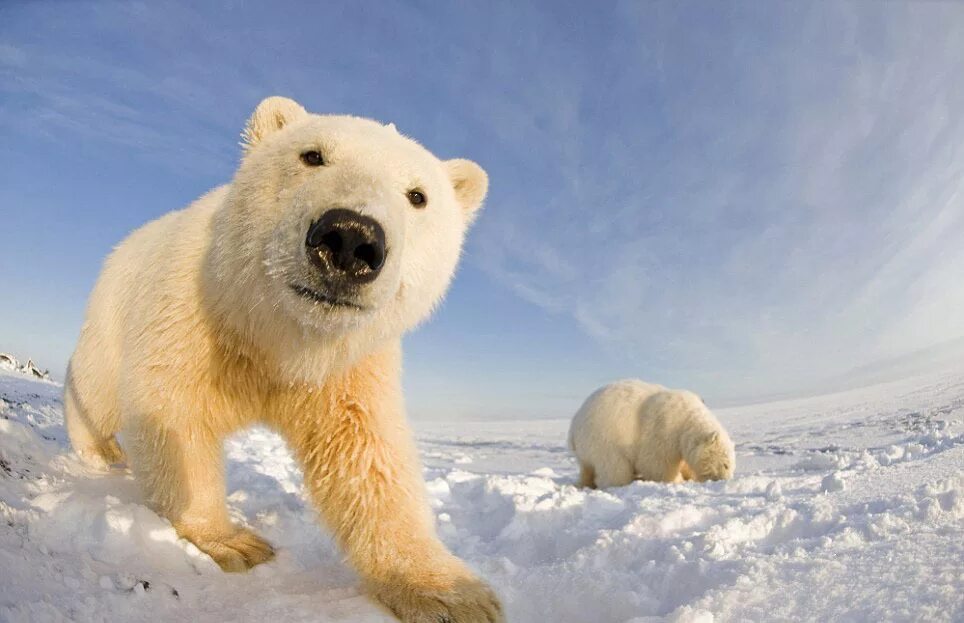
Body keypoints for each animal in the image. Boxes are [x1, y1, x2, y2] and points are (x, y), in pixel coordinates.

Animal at [66, 97, 504, 623]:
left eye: (418, 196)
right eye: (312, 155)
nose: (350, 238)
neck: (277, 337)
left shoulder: (350, 367)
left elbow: (368, 458)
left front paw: (453, 592)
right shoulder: (192, 311)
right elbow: (173, 415)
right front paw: (234, 543)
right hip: (113, 309)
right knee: (96, 385)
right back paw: (100, 450)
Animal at [568, 378, 736, 490]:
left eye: (730, 465)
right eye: (725, 464)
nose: (723, 481)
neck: (686, 417)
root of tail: (573, 428)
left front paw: (689, 475)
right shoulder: (663, 427)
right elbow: (657, 463)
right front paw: (677, 480)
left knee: (586, 467)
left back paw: (583, 484)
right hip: (605, 437)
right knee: (614, 467)